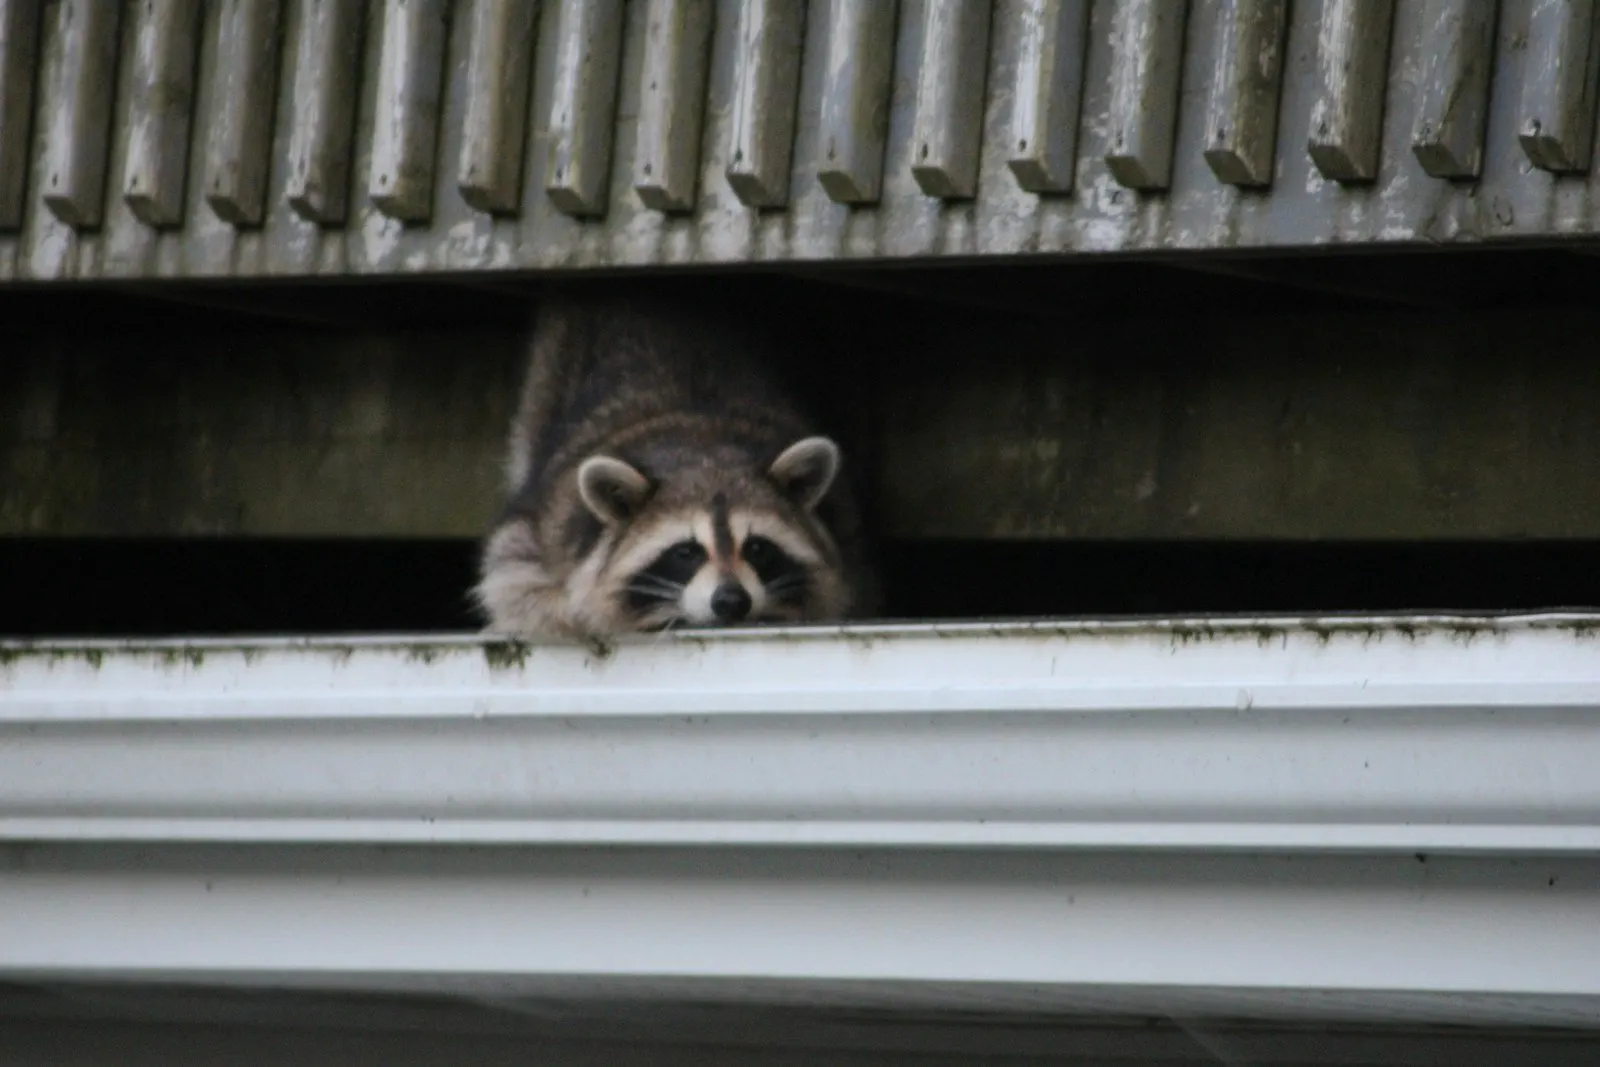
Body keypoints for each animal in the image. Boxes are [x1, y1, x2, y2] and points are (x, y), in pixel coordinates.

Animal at [474, 283, 876, 641]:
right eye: (686, 552)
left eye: (757, 548)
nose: (732, 601)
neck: (704, 447)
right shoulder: (548, 528)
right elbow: (515, 577)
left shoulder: (846, 530)